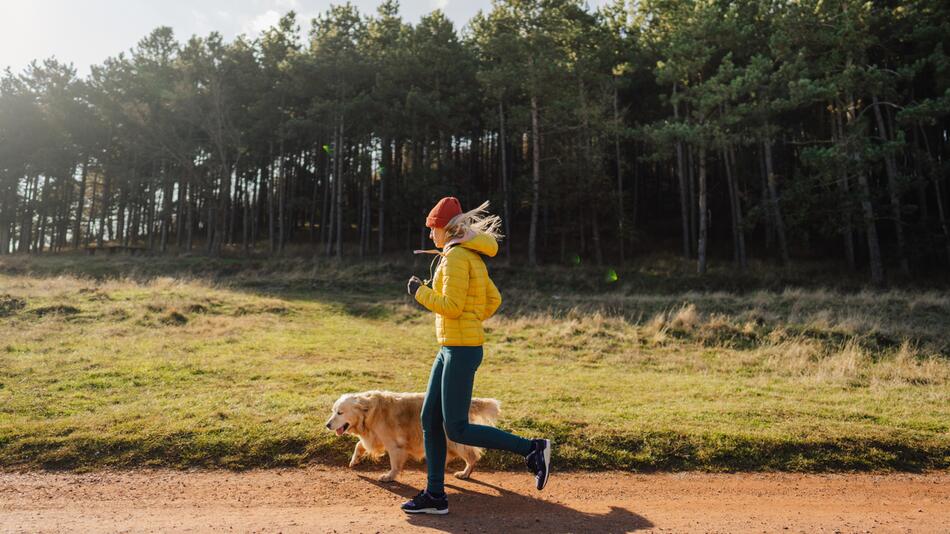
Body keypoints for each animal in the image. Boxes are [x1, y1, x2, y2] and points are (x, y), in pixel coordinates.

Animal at [328, 392, 502, 484]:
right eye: (333, 411)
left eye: (340, 413)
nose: (327, 425)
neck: (369, 412)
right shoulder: (374, 437)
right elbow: (359, 445)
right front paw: (354, 461)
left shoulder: (394, 445)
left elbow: (394, 464)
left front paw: (389, 476)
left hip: (455, 440)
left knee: (472, 456)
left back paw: (465, 473)